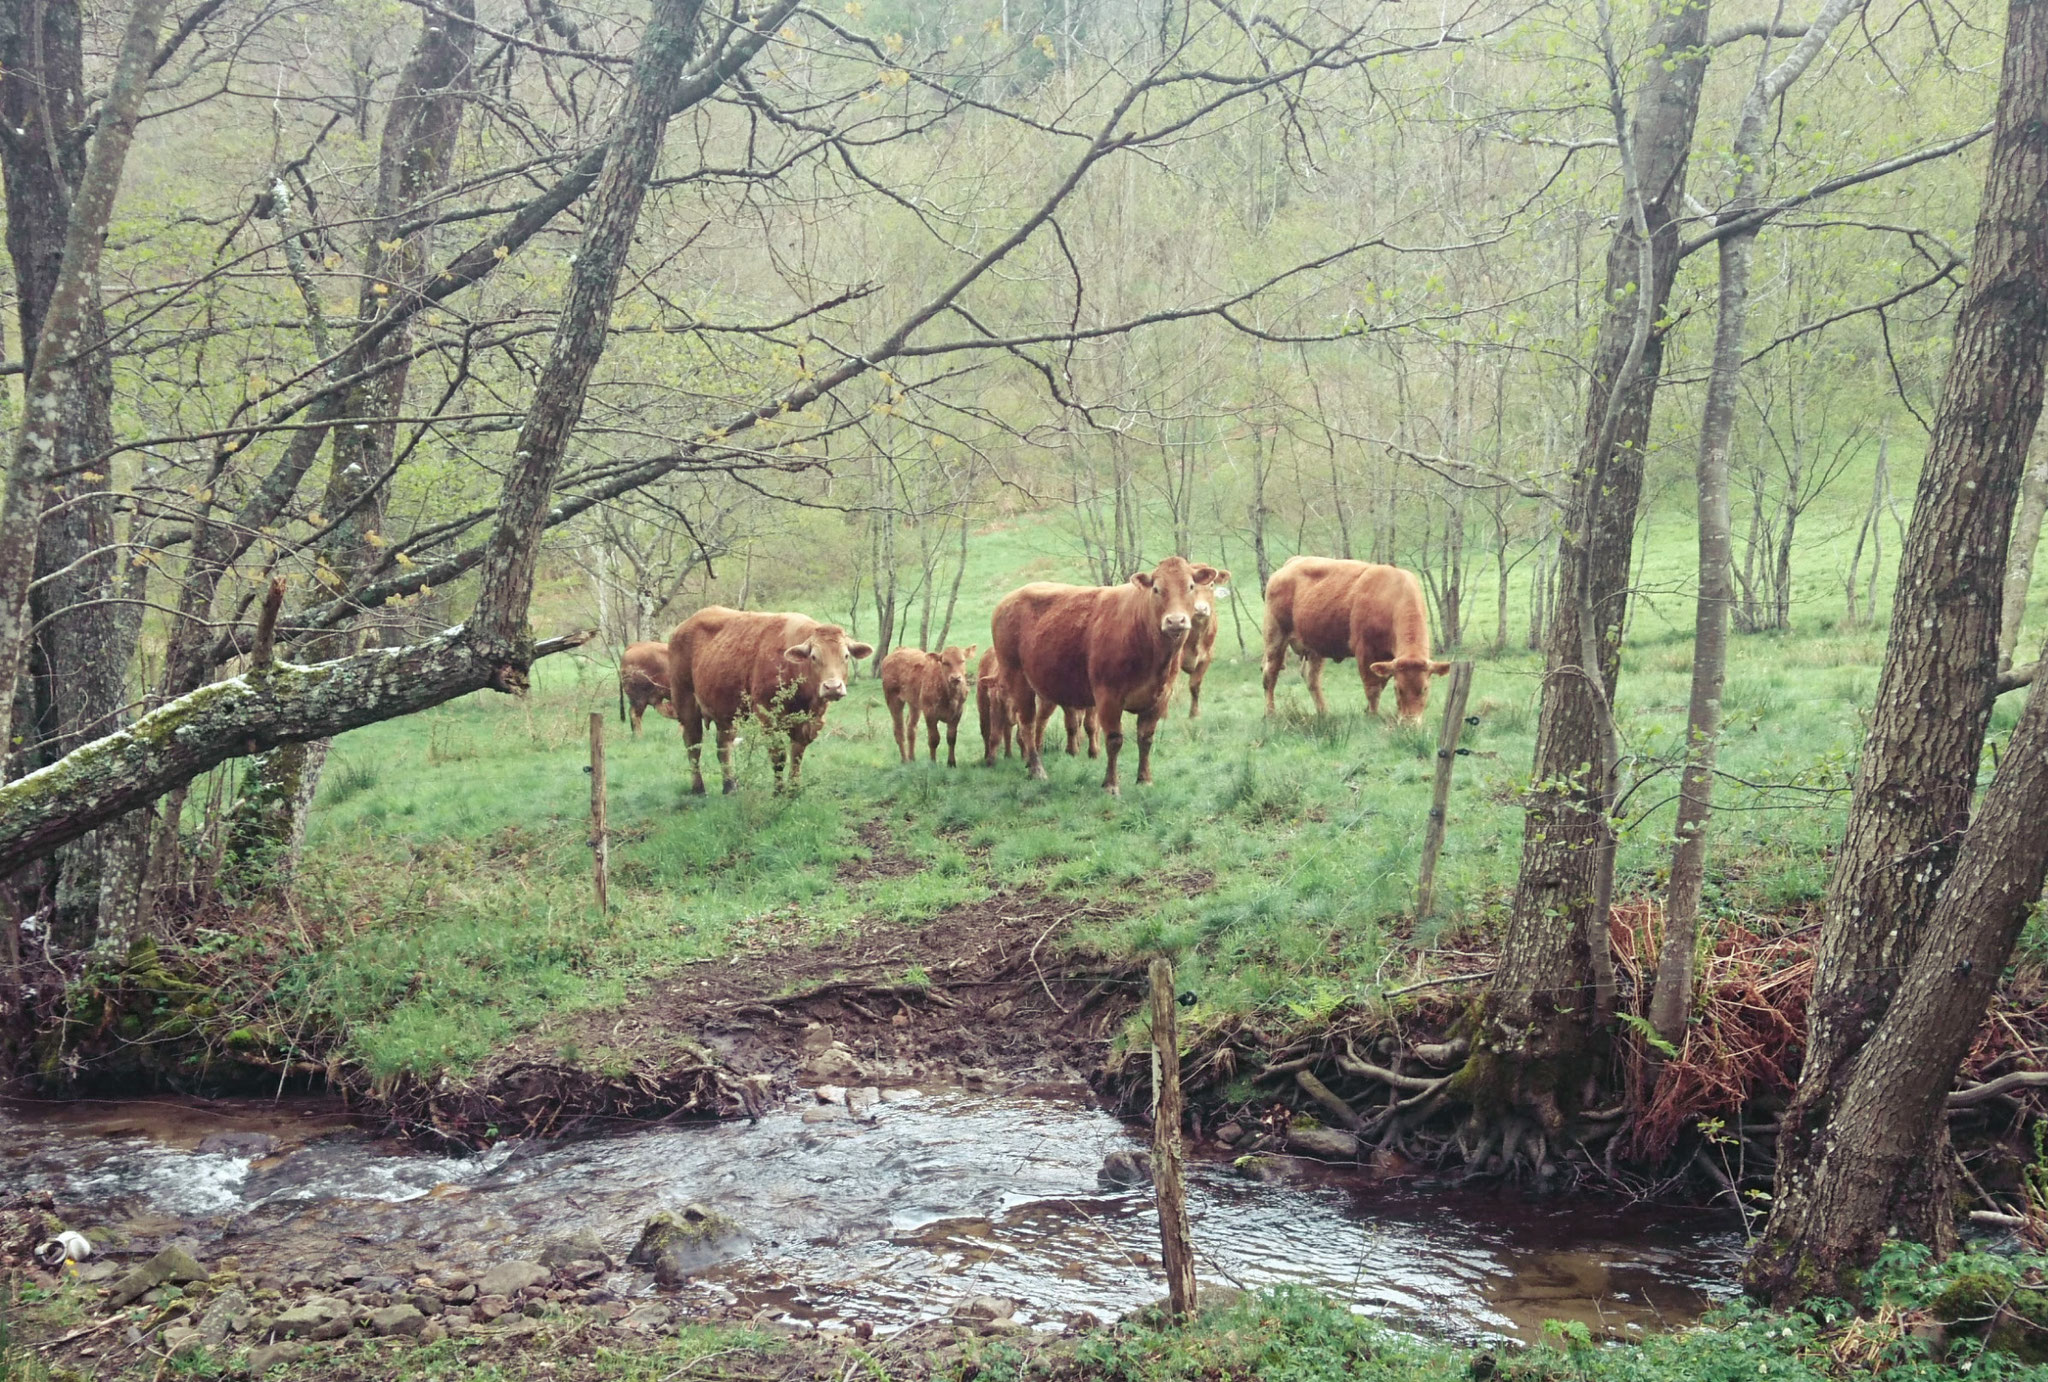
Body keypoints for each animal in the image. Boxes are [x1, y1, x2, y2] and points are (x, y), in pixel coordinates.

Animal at [663, 610, 872, 794]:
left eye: (846, 656)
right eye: (814, 657)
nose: (832, 687)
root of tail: (683, 626)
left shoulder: (808, 722)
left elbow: (797, 754)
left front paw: (794, 790)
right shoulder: (768, 715)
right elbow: (779, 756)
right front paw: (778, 791)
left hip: (725, 711)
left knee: (723, 746)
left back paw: (729, 787)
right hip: (686, 702)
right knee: (693, 745)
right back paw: (698, 788)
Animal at [991, 552, 1212, 794]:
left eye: (1191, 586)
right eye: (1156, 589)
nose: (1175, 621)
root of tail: (1009, 598)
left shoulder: (1160, 697)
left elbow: (1146, 738)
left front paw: (1144, 779)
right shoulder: (1109, 696)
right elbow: (1114, 740)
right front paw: (1111, 784)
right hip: (1017, 678)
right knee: (1028, 724)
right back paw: (1037, 770)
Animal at [1187, 569, 1228, 720]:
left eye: (1211, 584)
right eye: (1191, 586)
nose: (1200, 609)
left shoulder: (1206, 657)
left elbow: (1195, 685)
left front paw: (1194, 714)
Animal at [1253, 556, 1449, 724]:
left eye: (1425, 689)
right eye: (1398, 689)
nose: (1410, 723)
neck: (1392, 597)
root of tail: (1292, 563)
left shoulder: (1385, 660)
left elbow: (1380, 683)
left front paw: (1368, 711)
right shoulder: (1365, 652)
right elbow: (1372, 688)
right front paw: (1372, 715)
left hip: (1315, 648)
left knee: (1311, 678)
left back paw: (1324, 712)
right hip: (1275, 637)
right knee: (1270, 675)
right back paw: (1270, 713)